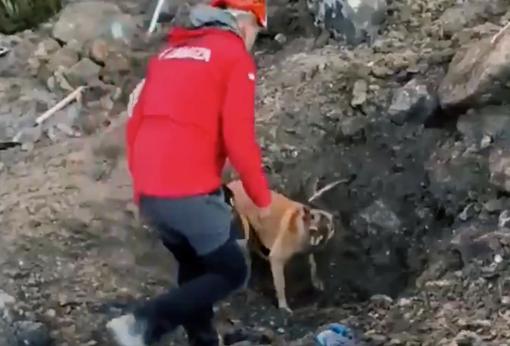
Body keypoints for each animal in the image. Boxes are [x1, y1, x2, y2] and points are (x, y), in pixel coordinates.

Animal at [226, 180, 336, 312]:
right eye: (313, 222)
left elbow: (312, 264)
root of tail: (232, 183)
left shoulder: (308, 251)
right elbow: (281, 285)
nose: (316, 232)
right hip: (244, 228)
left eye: (328, 225)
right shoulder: (277, 259)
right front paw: (283, 306)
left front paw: (317, 281)